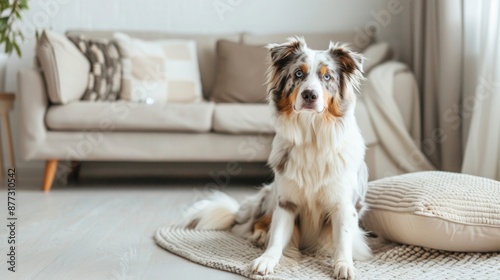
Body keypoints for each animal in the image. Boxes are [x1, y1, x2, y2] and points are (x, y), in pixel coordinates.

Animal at [184, 37, 372, 280]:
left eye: (327, 77)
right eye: (298, 74)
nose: (309, 95)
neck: (312, 137)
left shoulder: (343, 204)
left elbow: (343, 239)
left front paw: (344, 265)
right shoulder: (286, 202)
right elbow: (277, 237)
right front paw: (266, 260)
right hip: (270, 195)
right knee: (255, 223)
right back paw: (259, 235)